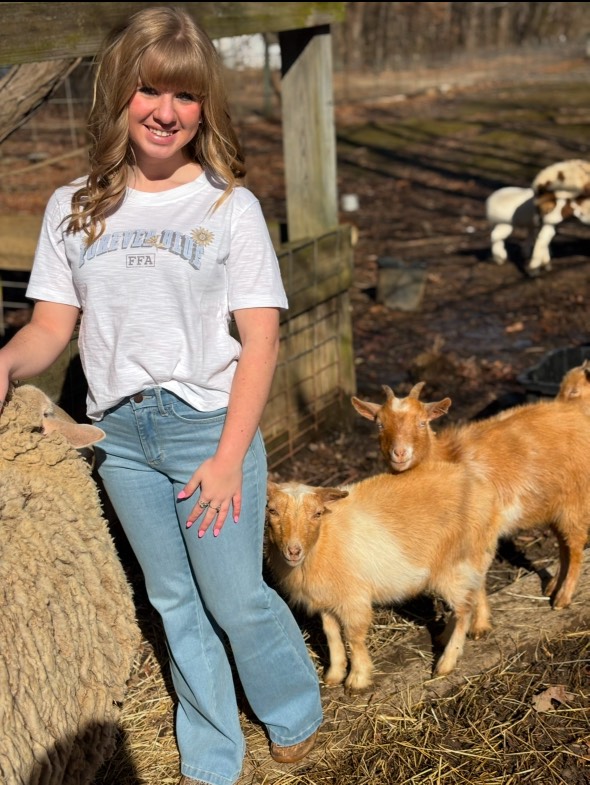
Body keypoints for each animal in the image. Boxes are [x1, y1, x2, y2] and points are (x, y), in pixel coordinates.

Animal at [266, 467, 499, 691]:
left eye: (317, 513)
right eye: (272, 511)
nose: (293, 551)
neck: (323, 540)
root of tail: (480, 486)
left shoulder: (354, 598)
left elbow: (353, 637)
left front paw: (357, 680)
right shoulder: (326, 600)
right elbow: (331, 635)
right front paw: (334, 675)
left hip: (454, 566)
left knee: (463, 609)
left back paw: (446, 663)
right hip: (472, 557)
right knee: (476, 587)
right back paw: (475, 627)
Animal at [351, 382, 590, 610]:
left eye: (422, 422)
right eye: (380, 424)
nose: (400, 453)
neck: (447, 457)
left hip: (576, 499)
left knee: (576, 545)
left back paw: (562, 598)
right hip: (557, 505)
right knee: (564, 544)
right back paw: (552, 587)